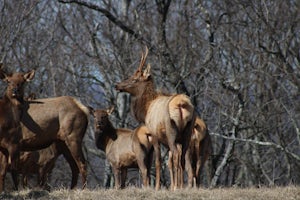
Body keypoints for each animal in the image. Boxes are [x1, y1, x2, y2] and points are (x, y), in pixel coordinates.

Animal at [115, 47, 197, 191]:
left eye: (135, 79)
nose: (117, 85)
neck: (146, 110)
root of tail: (181, 104)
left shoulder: (154, 134)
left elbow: (158, 162)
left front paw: (158, 187)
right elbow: (169, 162)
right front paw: (172, 185)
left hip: (171, 131)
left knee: (176, 156)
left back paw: (176, 187)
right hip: (187, 131)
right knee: (181, 158)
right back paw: (180, 186)